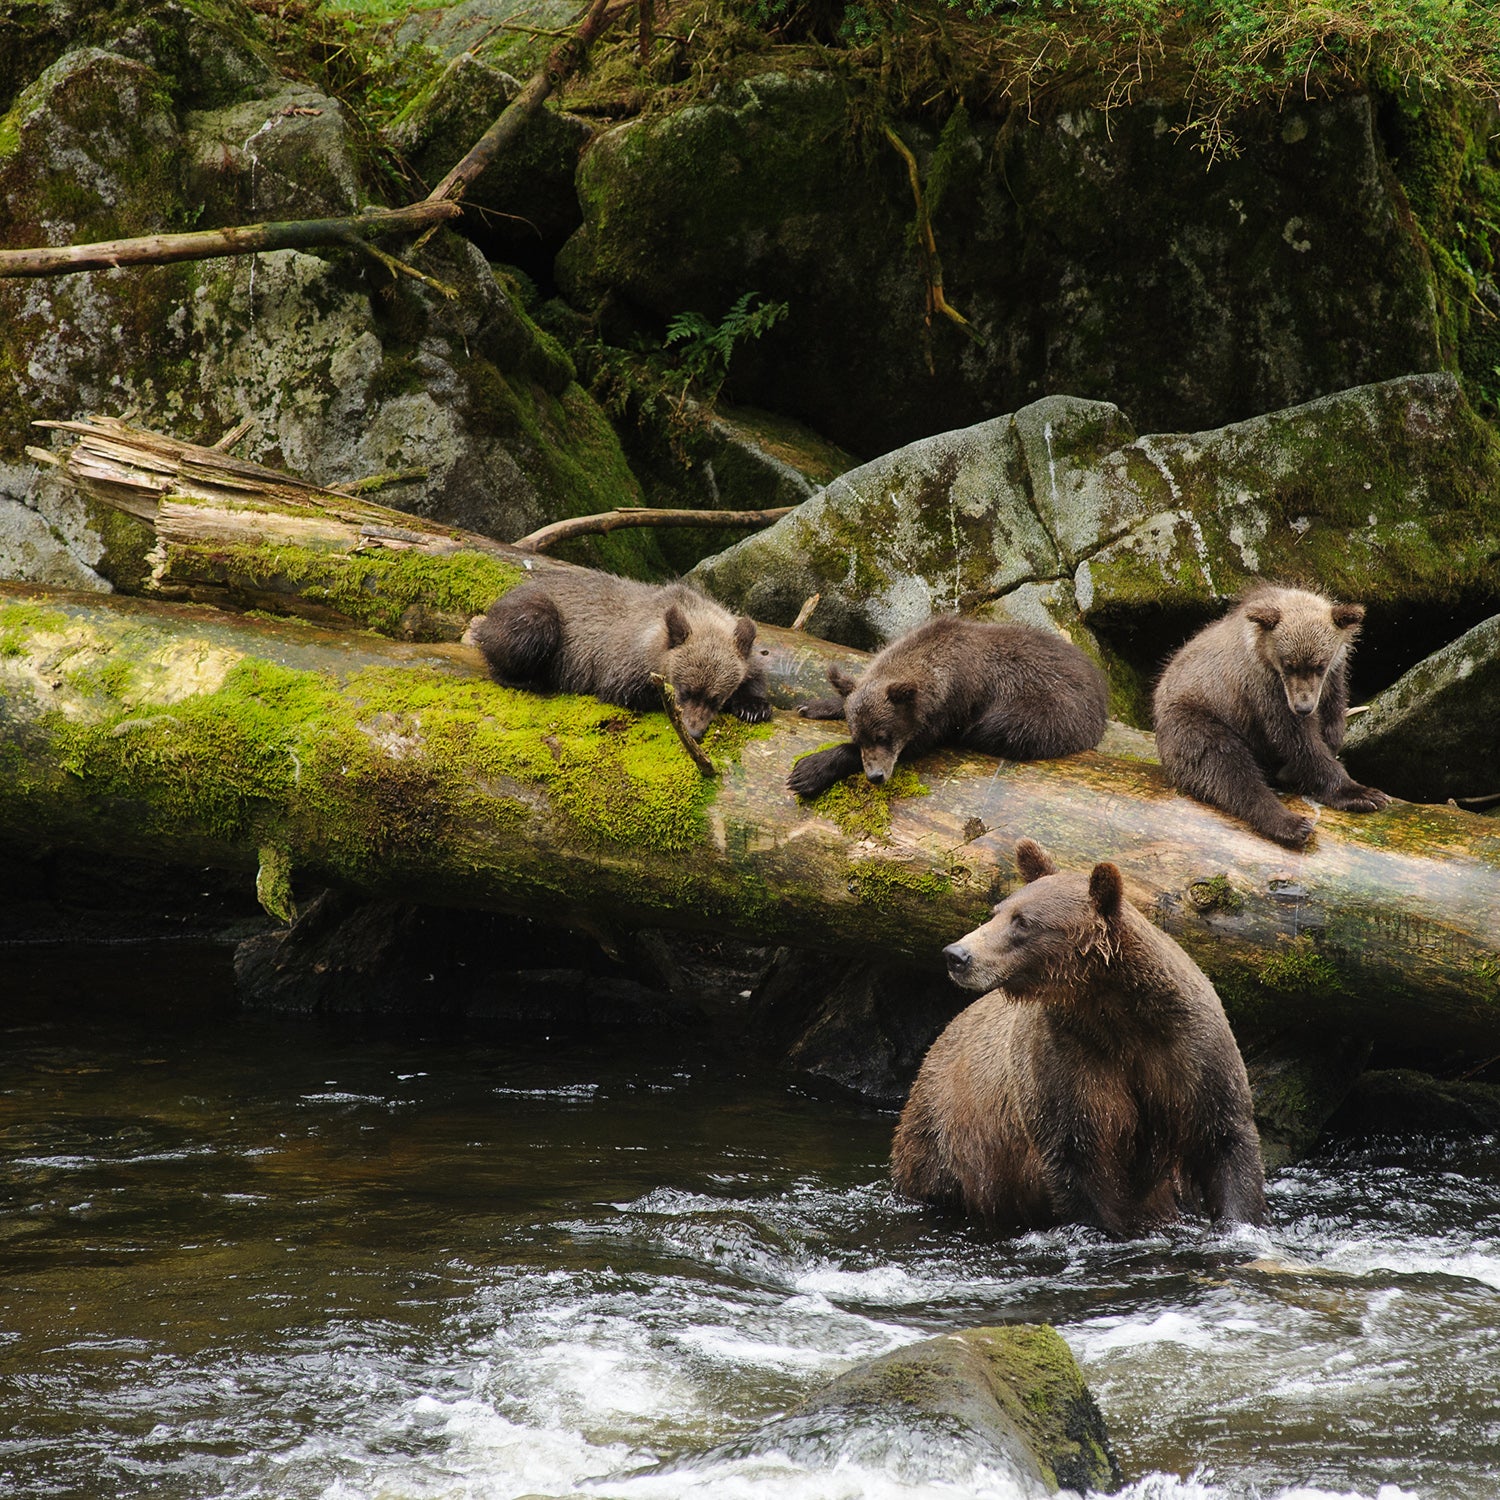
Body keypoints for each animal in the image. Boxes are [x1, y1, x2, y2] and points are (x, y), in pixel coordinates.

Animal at [471, 570, 774, 741]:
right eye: (684, 691)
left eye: (715, 697)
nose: (694, 732)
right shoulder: (622, 663)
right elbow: (626, 690)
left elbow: (754, 676)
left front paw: (754, 707)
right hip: (536, 615)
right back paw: (526, 679)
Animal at [786, 615, 1104, 804]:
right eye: (859, 736)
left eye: (883, 736)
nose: (876, 776)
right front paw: (815, 705)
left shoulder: (951, 709)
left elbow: (920, 743)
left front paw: (808, 770)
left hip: (1049, 711)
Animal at [888, 840, 1266, 1236]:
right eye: (996, 912)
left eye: (1022, 921)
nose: (957, 955)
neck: (1115, 1010)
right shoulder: (1067, 1061)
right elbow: (1078, 1158)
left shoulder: (1190, 1053)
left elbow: (1226, 1141)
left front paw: (1238, 1221)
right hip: (943, 1134)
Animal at [1152, 582, 1386, 846]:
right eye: (1288, 664)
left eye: (1319, 665)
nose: (1303, 707)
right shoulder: (1264, 688)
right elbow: (1297, 739)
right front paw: (1362, 793)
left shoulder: (1334, 677)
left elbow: (1332, 722)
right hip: (1196, 719)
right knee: (1228, 768)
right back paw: (1291, 824)